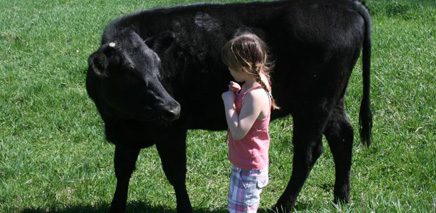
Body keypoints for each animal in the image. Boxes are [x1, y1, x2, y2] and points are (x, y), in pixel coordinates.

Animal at [86, 0, 372, 211]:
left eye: (158, 67)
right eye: (130, 74)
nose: (173, 107)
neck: (122, 121)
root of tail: (345, 5)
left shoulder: (172, 130)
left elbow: (175, 172)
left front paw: (185, 208)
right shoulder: (127, 132)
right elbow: (122, 170)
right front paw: (116, 207)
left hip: (314, 105)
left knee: (308, 152)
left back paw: (282, 205)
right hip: (333, 100)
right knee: (342, 136)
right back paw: (341, 198)